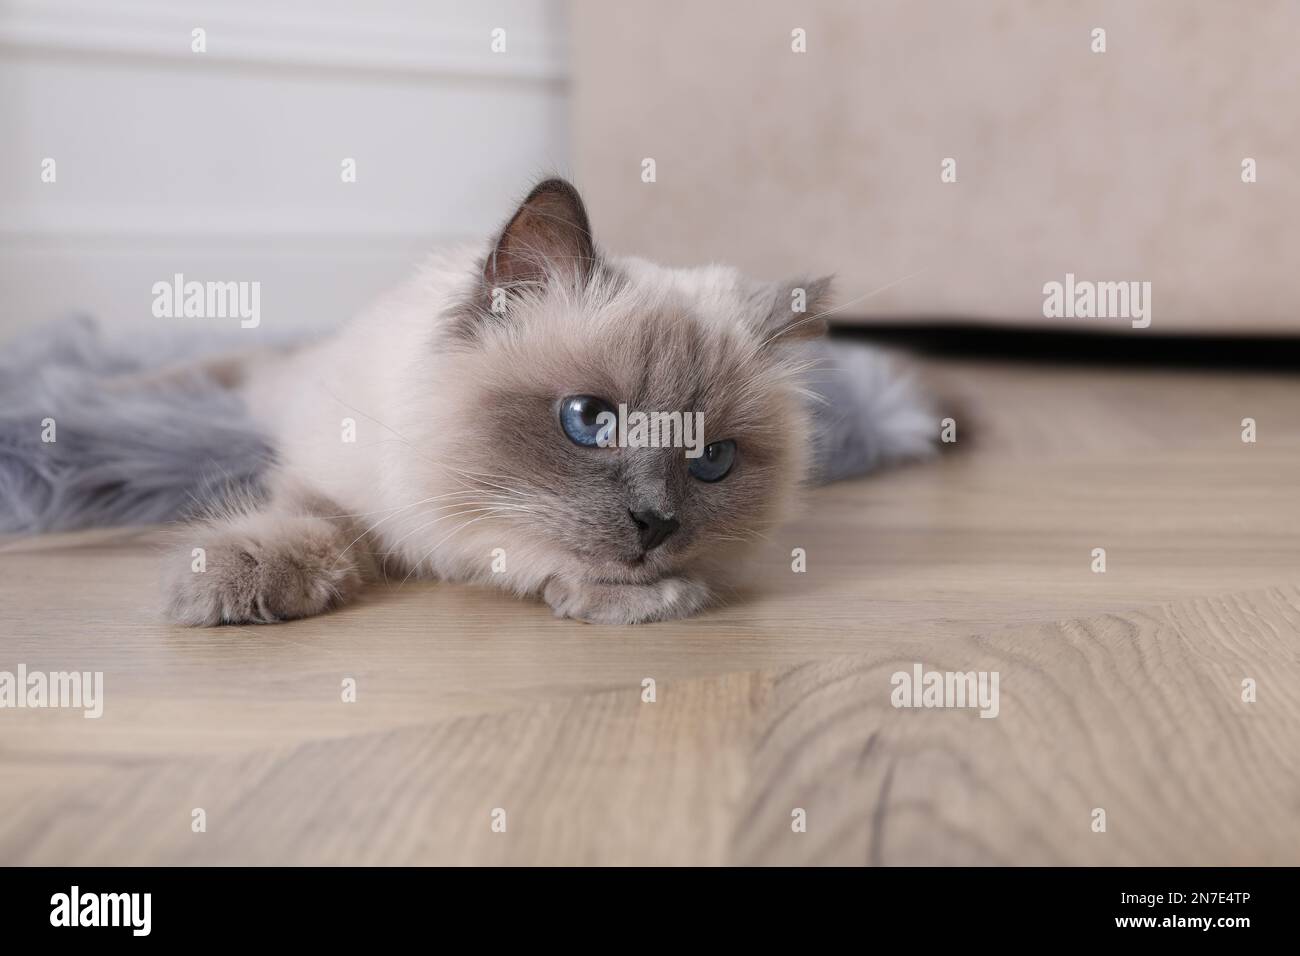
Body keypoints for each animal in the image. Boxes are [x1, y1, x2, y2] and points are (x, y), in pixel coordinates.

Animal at [159, 178, 935, 629]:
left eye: (711, 459)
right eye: (588, 420)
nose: (655, 523)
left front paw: (640, 601)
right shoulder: (334, 478)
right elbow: (312, 522)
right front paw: (223, 588)